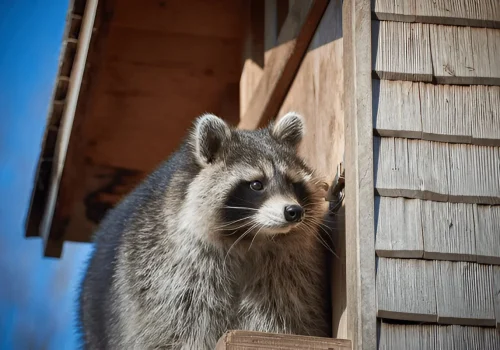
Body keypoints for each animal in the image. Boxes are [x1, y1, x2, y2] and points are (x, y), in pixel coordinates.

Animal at [78, 112, 332, 350]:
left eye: (292, 183)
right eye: (256, 184)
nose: (294, 211)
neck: (251, 236)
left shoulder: (288, 271)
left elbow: (282, 310)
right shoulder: (168, 270)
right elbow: (180, 325)